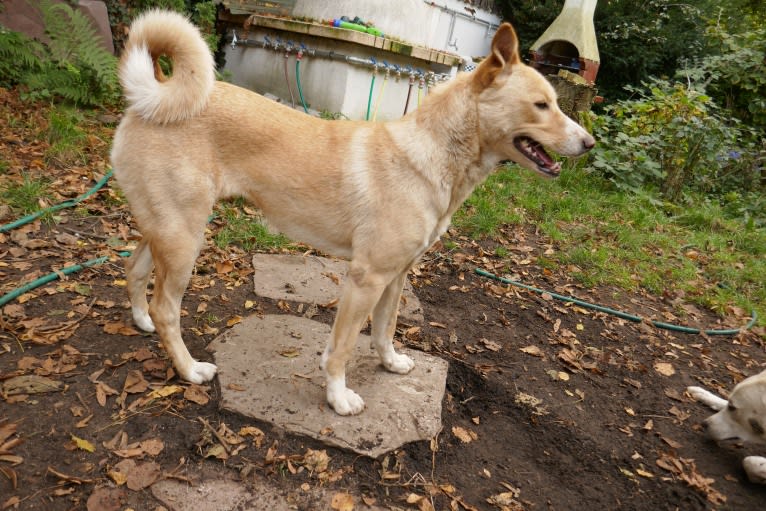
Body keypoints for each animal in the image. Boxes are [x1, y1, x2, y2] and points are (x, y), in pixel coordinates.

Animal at [111, 10, 596, 416]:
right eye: (541, 105)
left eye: (555, 102)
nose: (590, 143)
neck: (431, 156)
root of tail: (148, 98)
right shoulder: (367, 278)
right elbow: (342, 348)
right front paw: (338, 398)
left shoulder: (397, 277)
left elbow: (385, 329)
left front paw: (391, 362)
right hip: (184, 239)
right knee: (166, 308)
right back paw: (189, 369)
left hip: (166, 230)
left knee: (134, 272)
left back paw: (140, 321)